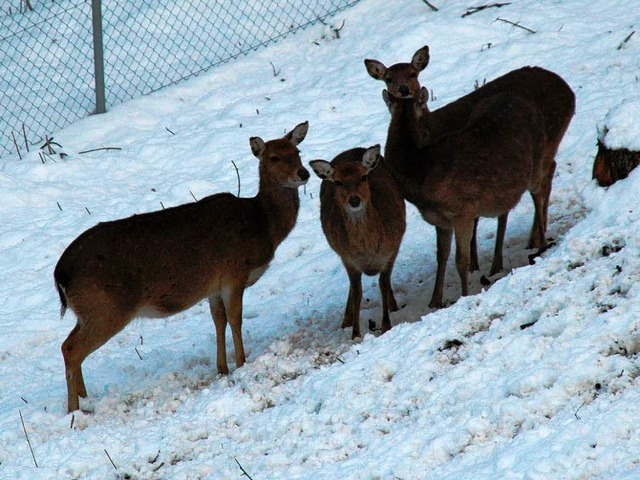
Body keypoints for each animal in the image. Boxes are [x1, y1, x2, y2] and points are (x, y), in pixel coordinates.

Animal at [56, 121, 312, 412]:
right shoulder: (234, 272)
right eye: (274, 157)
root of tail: (60, 274)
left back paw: (85, 398)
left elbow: (218, 319)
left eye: (297, 151)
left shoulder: (214, 285)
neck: (262, 224)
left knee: (70, 345)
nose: (303, 173)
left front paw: (222, 368)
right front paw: (242, 362)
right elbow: (235, 318)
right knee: (71, 349)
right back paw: (74, 409)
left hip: (87, 311)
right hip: (107, 308)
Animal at [308, 145, 404, 338]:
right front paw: (355, 334)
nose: (354, 200)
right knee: (352, 288)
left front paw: (386, 325)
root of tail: (352, 149)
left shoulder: (392, 250)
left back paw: (393, 305)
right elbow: (357, 292)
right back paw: (346, 320)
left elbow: (383, 284)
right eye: (338, 182)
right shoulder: (348, 259)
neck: (368, 251)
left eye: (363, 177)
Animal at [364, 46, 576, 308]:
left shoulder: (463, 210)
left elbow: (461, 259)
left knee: (540, 188)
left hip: (539, 156)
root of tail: (569, 90)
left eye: (413, 73)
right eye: (388, 79)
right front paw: (435, 300)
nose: (403, 91)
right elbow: (441, 256)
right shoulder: (441, 220)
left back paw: (541, 244)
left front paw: (464, 295)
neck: (421, 172)